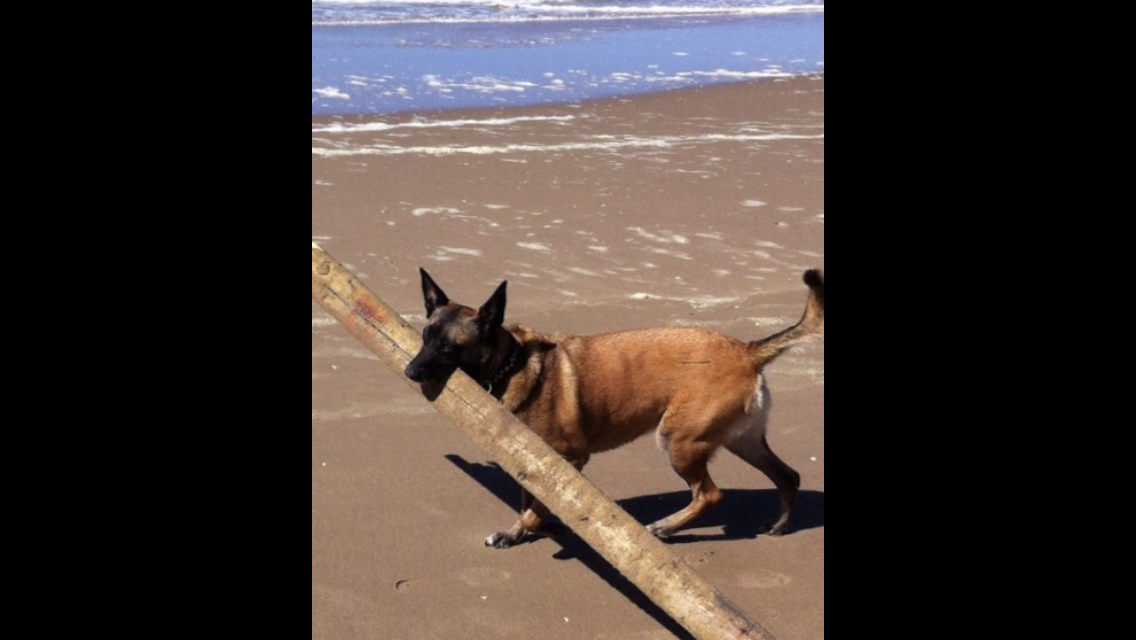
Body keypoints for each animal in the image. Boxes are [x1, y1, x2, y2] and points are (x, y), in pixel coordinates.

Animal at [404, 268, 822, 547]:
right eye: (425, 336)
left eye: (449, 348)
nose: (409, 370)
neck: (512, 363)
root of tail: (747, 350)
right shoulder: (532, 461)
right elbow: (530, 501)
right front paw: (520, 531)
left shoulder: (571, 458)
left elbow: (536, 507)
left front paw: (538, 524)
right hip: (742, 440)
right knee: (788, 476)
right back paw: (780, 526)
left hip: (679, 439)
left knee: (710, 495)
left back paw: (665, 527)